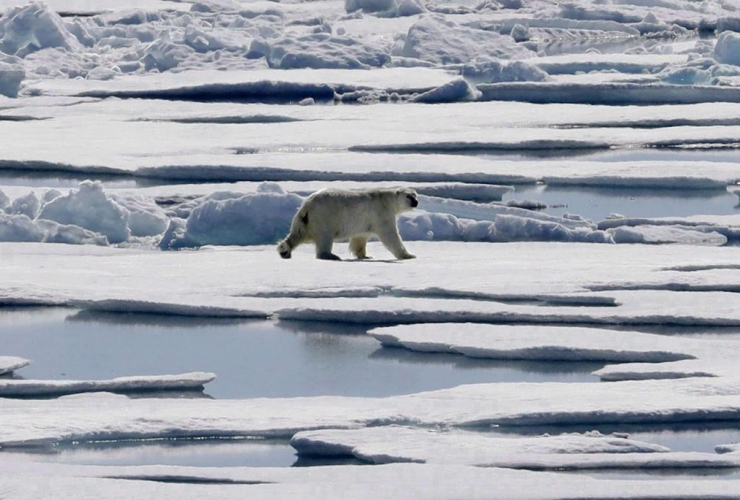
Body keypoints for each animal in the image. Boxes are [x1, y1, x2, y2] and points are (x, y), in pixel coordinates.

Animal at [278, 188, 420, 262]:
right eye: (408, 196)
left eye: (415, 194)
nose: (416, 202)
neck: (386, 200)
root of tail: (307, 205)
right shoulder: (382, 214)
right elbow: (391, 236)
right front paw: (409, 255)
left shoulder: (366, 221)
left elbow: (360, 238)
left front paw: (365, 255)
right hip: (324, 217)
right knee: (324, 237)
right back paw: (331, 256)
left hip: (304, 221)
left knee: (297, 234)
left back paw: (284, 251)